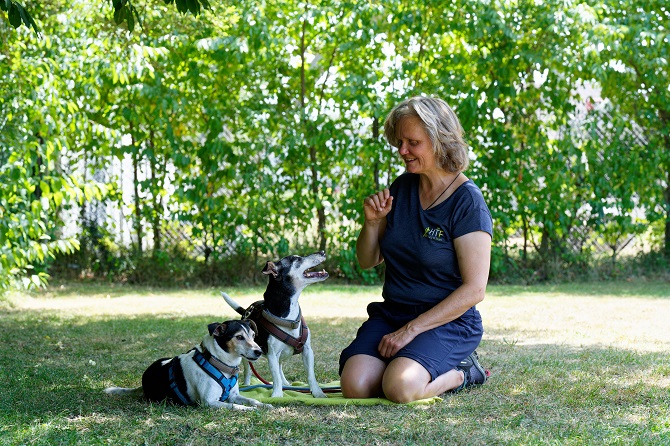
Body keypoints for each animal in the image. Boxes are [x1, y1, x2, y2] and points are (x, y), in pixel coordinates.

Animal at [105, 320, 272, 412]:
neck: (217, 361)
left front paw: (263, 405)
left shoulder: (234, 395)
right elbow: (234, 406)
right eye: (239, 337)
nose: (259, 351)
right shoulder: (209, 402)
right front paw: (249, 410)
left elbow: (252, 400)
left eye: (253, 335)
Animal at [223, 251, 330, 398]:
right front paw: (277, 396)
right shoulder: (272, 355)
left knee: (280, 368)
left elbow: (310, 375)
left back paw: (286, 383)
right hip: (248, 353)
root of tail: (246, 312)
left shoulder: (308, 351)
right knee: (248, 369)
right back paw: (247, 384)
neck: (289, 318)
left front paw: (318, 393)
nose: (323, 252)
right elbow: (275, 377)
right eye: (297, 259)